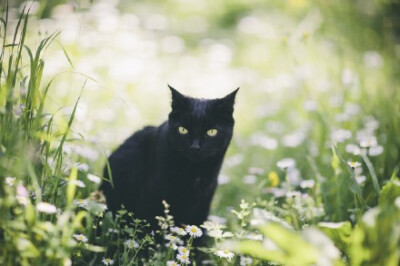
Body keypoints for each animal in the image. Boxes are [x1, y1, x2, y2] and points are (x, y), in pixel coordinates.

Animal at [101, 85, 238, 229]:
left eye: (212, 132)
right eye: (183, 130)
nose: (195, 147)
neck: (193, 172)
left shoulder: (204, 200)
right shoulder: (153, 196)